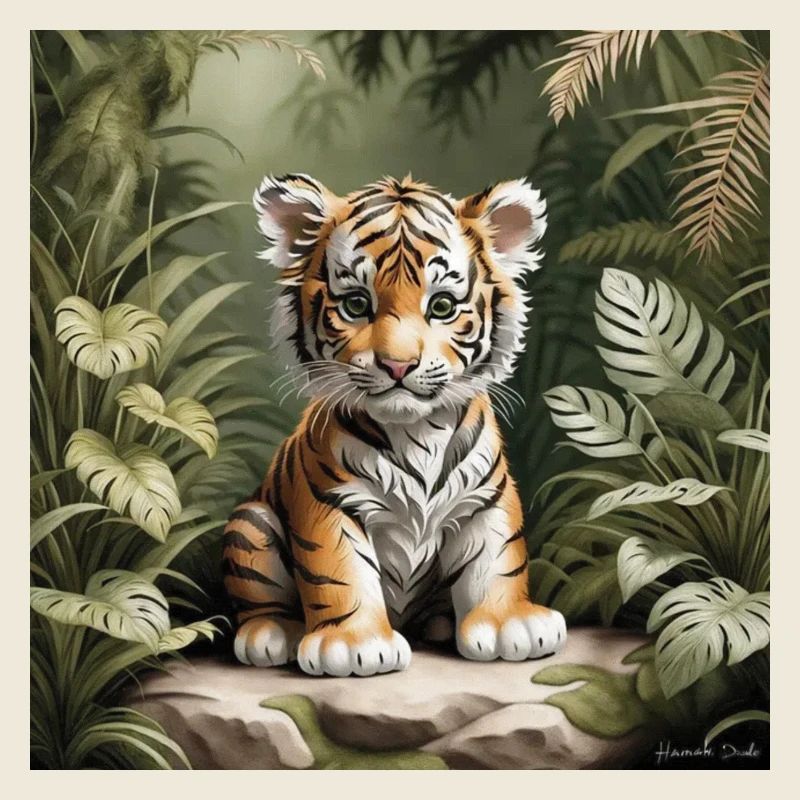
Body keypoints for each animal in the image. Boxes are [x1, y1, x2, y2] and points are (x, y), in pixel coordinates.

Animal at [222, 173, 567, 677]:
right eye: (355, 304)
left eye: (441, 307)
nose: (398, 365)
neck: (417, 433)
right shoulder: (329, 502)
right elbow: (339, 571)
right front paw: (353, 645)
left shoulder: (487, 497)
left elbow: (499, 557)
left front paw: (510, 625)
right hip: (251, 524)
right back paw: (271, 633)